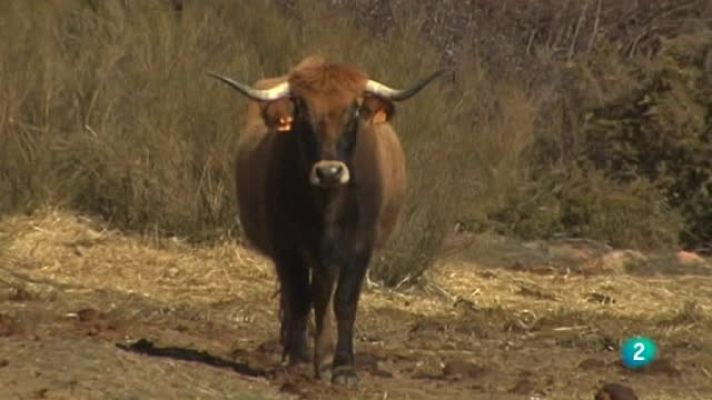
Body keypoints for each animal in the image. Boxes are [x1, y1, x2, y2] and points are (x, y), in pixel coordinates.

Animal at [209, 55, 442, 387]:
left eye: (353, 111)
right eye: (303, 110)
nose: (329, 171)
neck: (328, 205)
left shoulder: (359, 247)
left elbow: (344, 302)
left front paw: (343, 368)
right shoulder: (287, 246)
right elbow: (298, 298)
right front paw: (299, 361)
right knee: (299, 299)